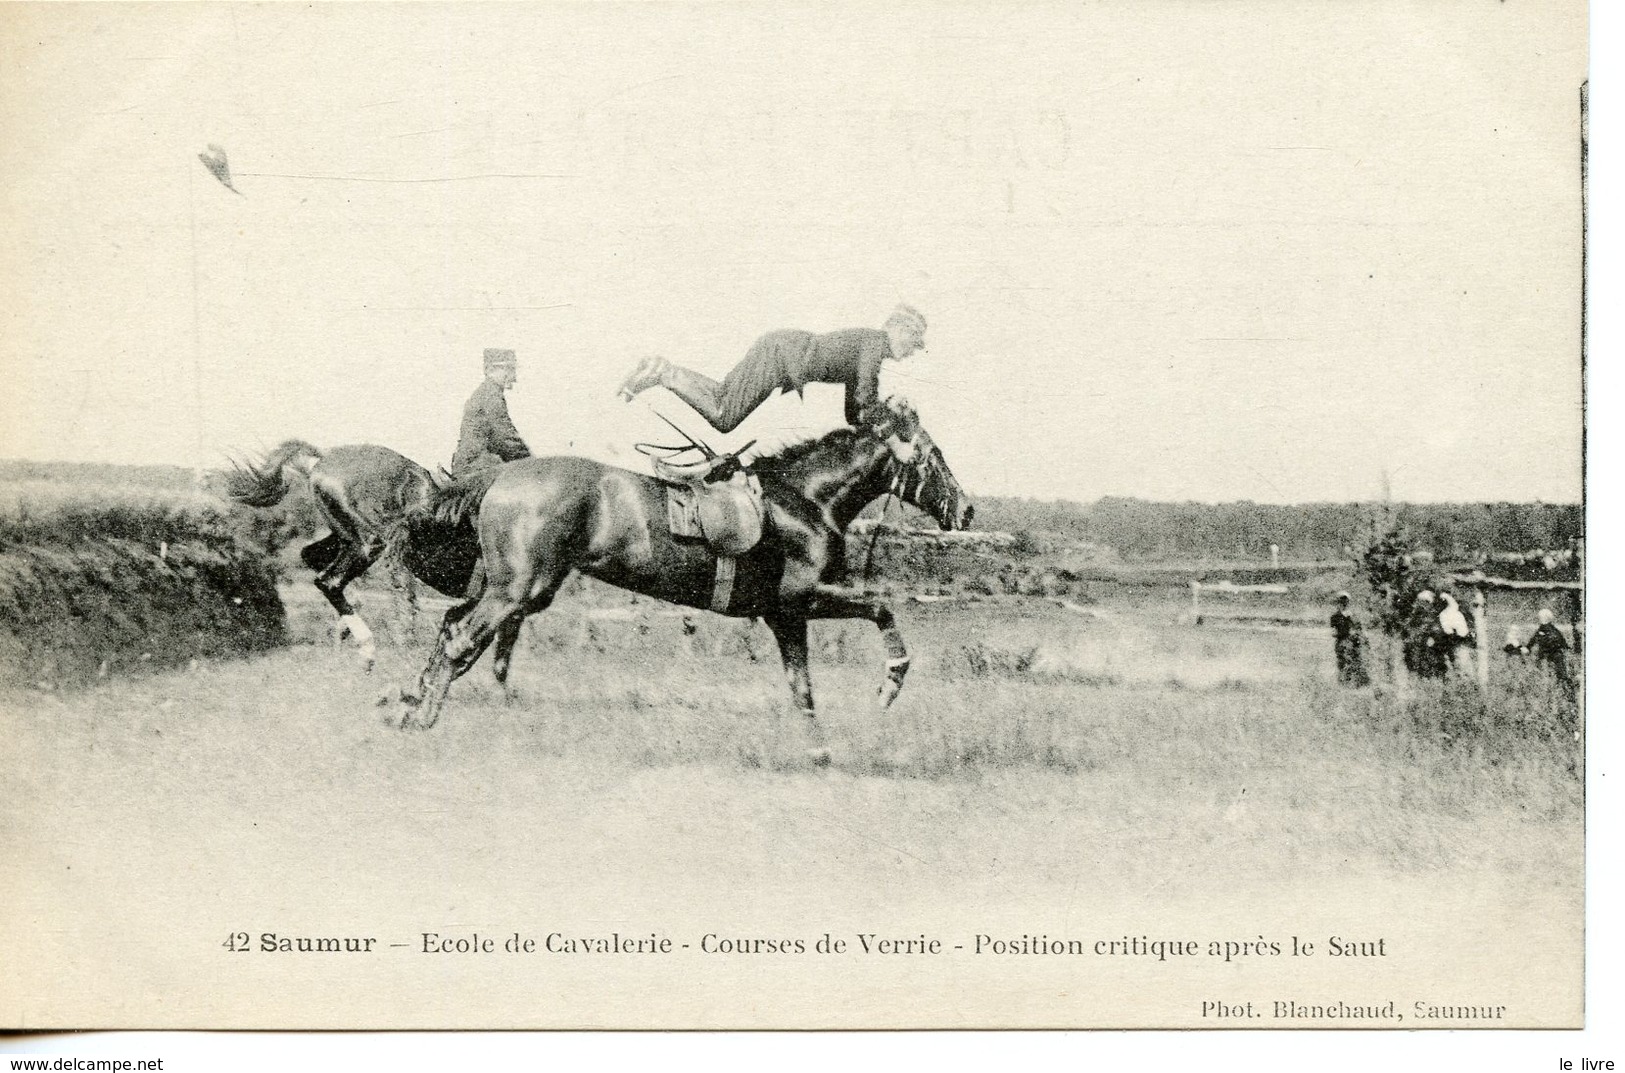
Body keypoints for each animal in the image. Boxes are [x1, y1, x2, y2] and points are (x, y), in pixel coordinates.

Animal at [399, 403, 968, 754]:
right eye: (934, 456)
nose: (965, 509)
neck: (806, 501)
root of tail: (500, 476)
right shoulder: (801, 599)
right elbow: (879, 607)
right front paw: (890, 683)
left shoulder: (783, 616)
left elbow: (802, 688)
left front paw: (820, 753)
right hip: (519, 590)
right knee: (461, 640)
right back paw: (422, 721)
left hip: (513, 590)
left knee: (453, 629)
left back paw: (409, 706)